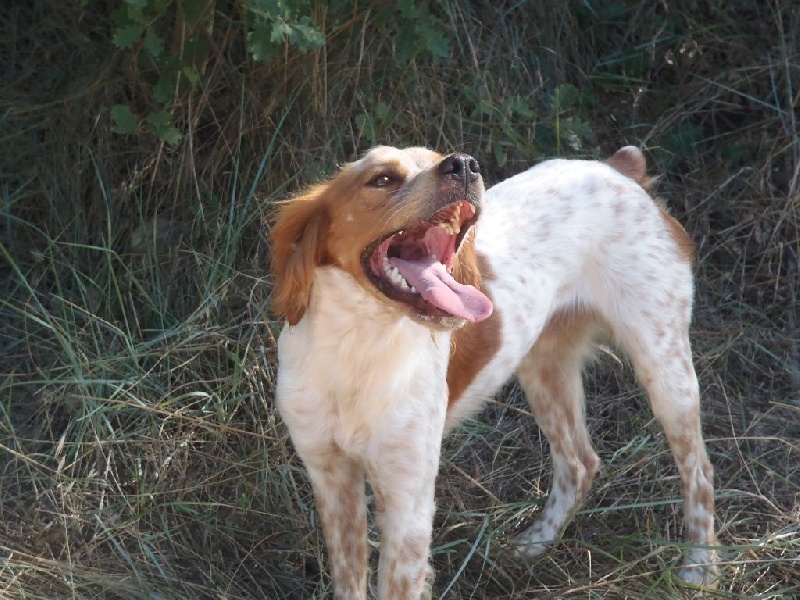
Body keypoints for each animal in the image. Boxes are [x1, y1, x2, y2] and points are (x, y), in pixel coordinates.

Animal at [268, 146, 720, 600]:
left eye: (436, 156)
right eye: (381, 179)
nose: (463, 164)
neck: (357, 349)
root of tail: (617, 167)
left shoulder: (407, 499)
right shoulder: (331, 477)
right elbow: (348, 578)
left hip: (664, 365)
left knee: (698, 470)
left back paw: (700, 565)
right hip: (544, 369)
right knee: (579, 462)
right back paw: (537, 541)